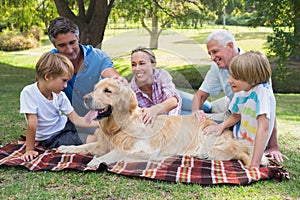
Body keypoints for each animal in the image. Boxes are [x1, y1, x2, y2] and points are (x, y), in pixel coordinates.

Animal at [57, 77, 268, 168]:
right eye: (95, 88)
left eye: (107, 91)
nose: (86, 98)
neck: (120, 125)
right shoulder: (102, 144)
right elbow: (83, 146)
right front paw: (66, 148)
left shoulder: (146, 151)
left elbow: (116, 153)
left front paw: (95, 161)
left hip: (213, 147)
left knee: (240, 151)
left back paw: (254, 164)